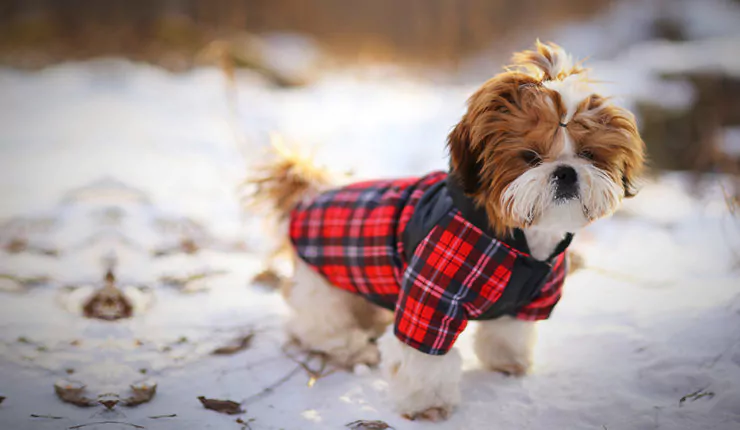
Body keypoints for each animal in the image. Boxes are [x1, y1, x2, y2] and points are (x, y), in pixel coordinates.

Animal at [249, 41, 640, 420]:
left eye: (589, 154)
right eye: (530, 156)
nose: (566, 172)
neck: (519, 243)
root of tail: (308, 199)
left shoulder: (527, 300)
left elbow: (508, 332)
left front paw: (507, 362)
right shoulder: (429, 300)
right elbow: (423, 360)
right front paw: (428, 404)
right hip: (323, 289)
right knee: (315, 328)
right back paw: (352, 349)